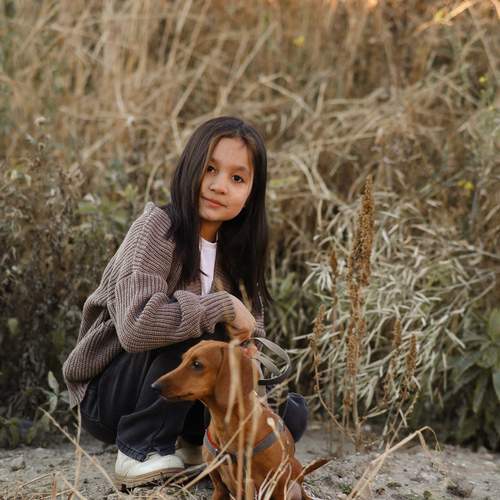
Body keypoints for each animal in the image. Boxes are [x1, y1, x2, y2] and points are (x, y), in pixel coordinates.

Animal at [152, 340, 328, 499]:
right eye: (183, 360)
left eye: (197, 364)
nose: (154, 387)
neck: (228, 425)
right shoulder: (220, 488)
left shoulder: (275, 487)